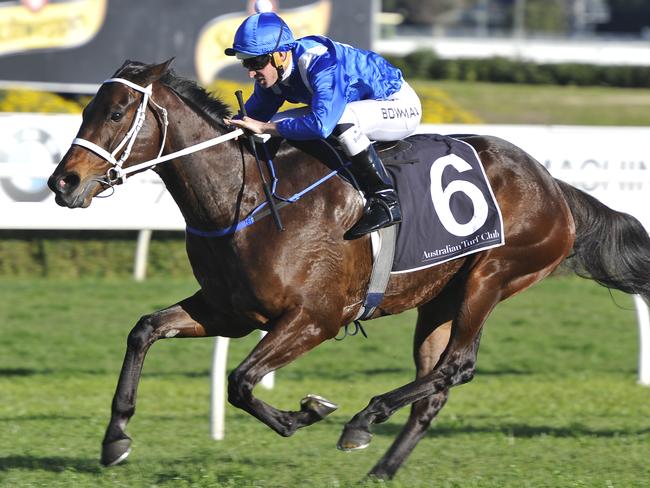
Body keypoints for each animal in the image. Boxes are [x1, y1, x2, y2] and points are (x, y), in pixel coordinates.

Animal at [46, 59, 648, 478]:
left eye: (117, 113)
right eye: (85, 111)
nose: (62, 182)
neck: (247, 200)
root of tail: (553, 184)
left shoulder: (317, 317)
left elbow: (241, 382)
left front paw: (306, 414)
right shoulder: (229, 311)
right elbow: (145, 330)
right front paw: (115, 438)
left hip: (493, 275)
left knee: (456, 367)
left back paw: (363, 420)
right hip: (441, 297)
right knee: (436, 384)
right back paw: (380, 467)